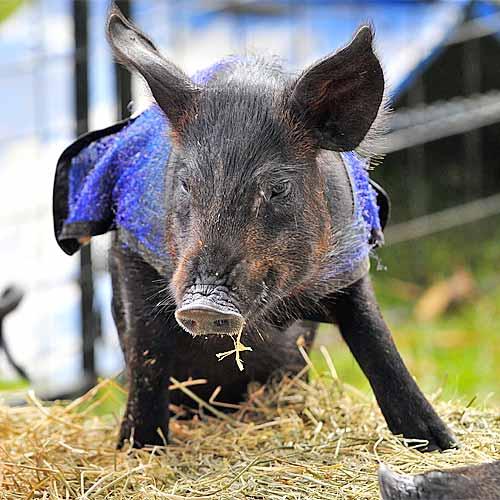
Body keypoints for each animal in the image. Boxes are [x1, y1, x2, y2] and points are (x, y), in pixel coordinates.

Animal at [51, 1, 458, 452]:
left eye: (277, 188)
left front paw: (440, 444)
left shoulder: (349, 266)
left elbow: (378, 342)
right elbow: (148, 353)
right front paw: (137, 448)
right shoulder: (132, 251)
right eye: (186, 182)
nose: (204, 305)